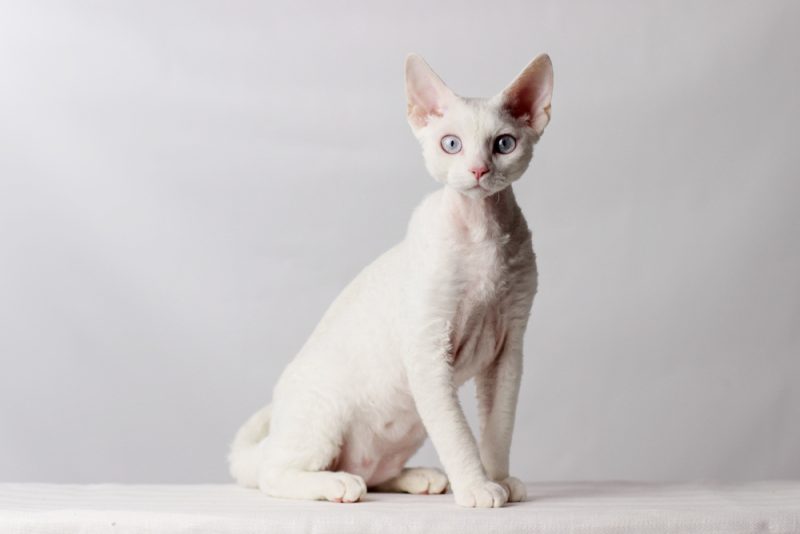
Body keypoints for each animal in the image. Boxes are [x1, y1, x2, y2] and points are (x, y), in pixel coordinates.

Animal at [228, 54, 552, 510]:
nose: (478, 169)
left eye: (504, 144)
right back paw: (338, 484)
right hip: (322, 416)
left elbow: (497, 428)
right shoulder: (428, 347)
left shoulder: (510, 349)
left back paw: (419, 477)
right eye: (451, 144)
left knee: (375, 472)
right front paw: (477, 487)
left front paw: (501, 479)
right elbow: (458, 434)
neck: (482, 233)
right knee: (272, 475)